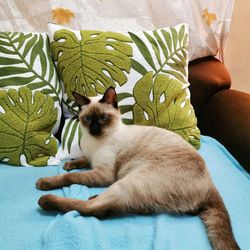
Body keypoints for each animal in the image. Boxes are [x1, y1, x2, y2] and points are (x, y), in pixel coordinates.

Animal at [36, 87, 239, 249]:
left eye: (102, 118)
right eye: (87, 119)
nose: (94, 129)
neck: (95, 142)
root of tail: (211, 184)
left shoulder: (103, 174)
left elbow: (70, 178)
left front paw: (48, 181)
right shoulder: (91, 160)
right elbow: (81, 160)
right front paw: (69, 164)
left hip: (128, 182)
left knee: (95, 209)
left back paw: (46, 200)